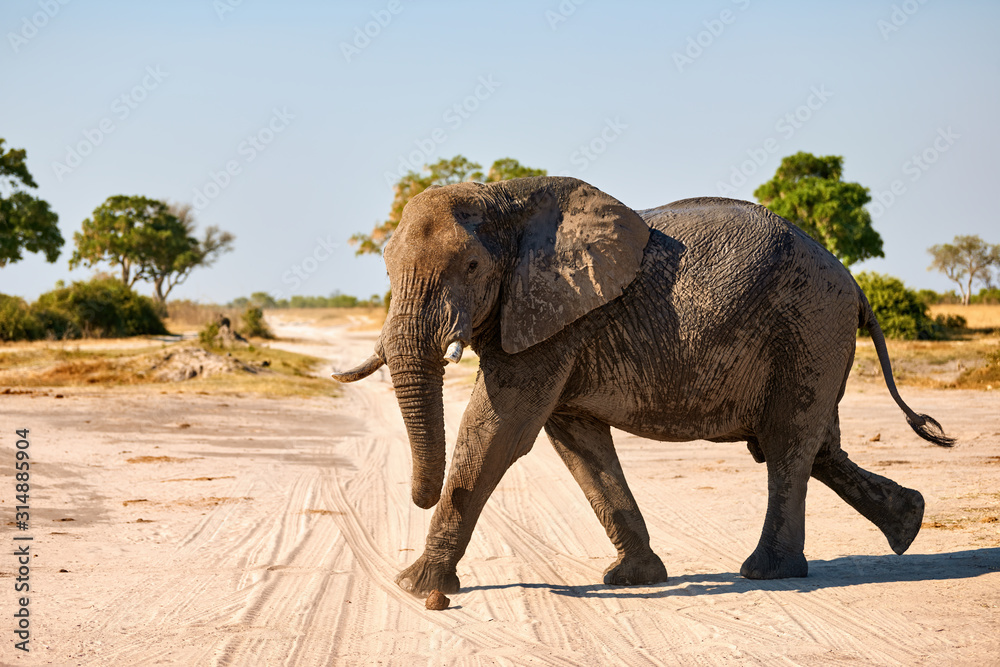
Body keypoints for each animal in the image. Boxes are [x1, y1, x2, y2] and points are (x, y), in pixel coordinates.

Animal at [333, 176, 953, 597]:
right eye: (385, 267)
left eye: (471, 268)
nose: (418, 493)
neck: (504, 199)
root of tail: (852, 279)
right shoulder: (559, 322)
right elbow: (577, 443)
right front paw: (634, 577)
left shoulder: (553, 318)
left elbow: (499, 430)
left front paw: (417, 586)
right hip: (816, 338)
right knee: (817, 446)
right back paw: (909, 524)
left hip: (810, 327)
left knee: (786, 445)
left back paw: (768, 572)